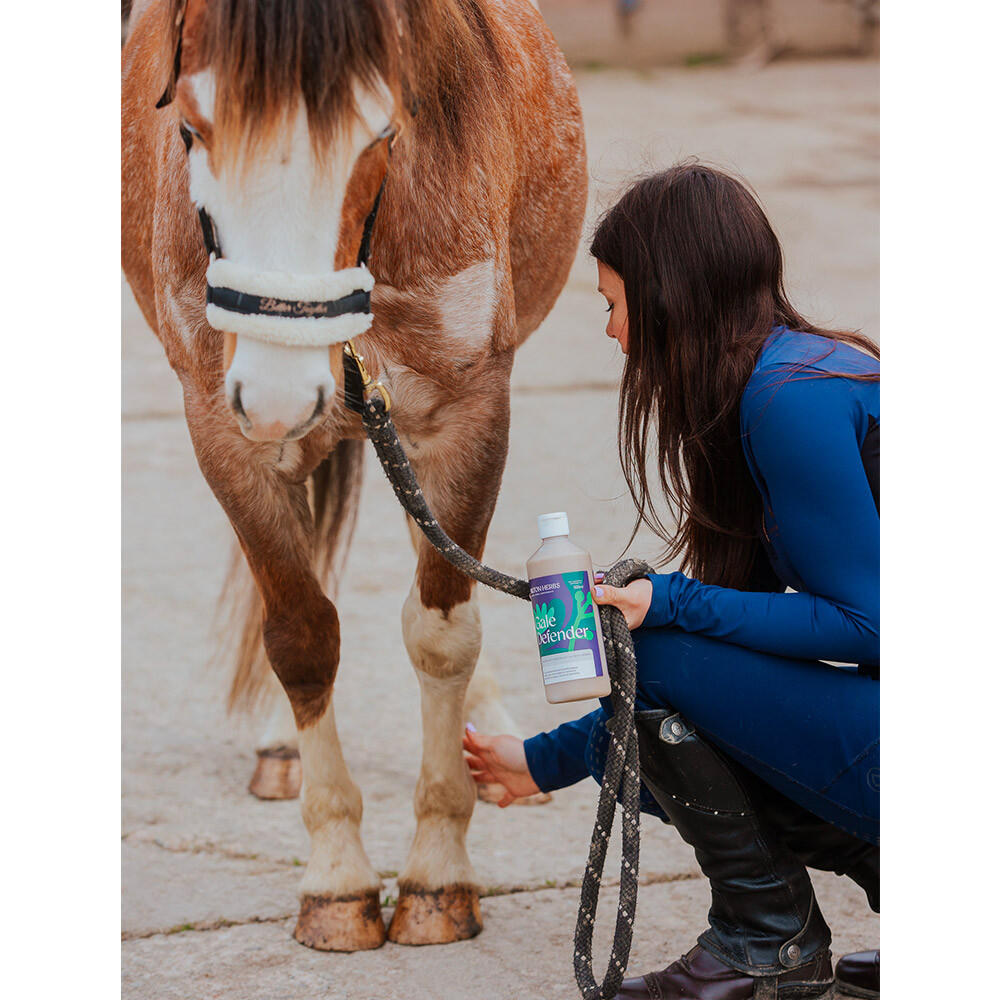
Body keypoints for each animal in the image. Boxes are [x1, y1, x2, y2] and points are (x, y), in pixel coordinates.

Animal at [122, 0, 586, 951]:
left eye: (382, 133)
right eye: (189, 129)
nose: (275, 393)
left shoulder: (470, 413)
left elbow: (442, 629)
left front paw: (438, 873)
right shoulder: (222, 430)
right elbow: (301, 633)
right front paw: (336, 880)